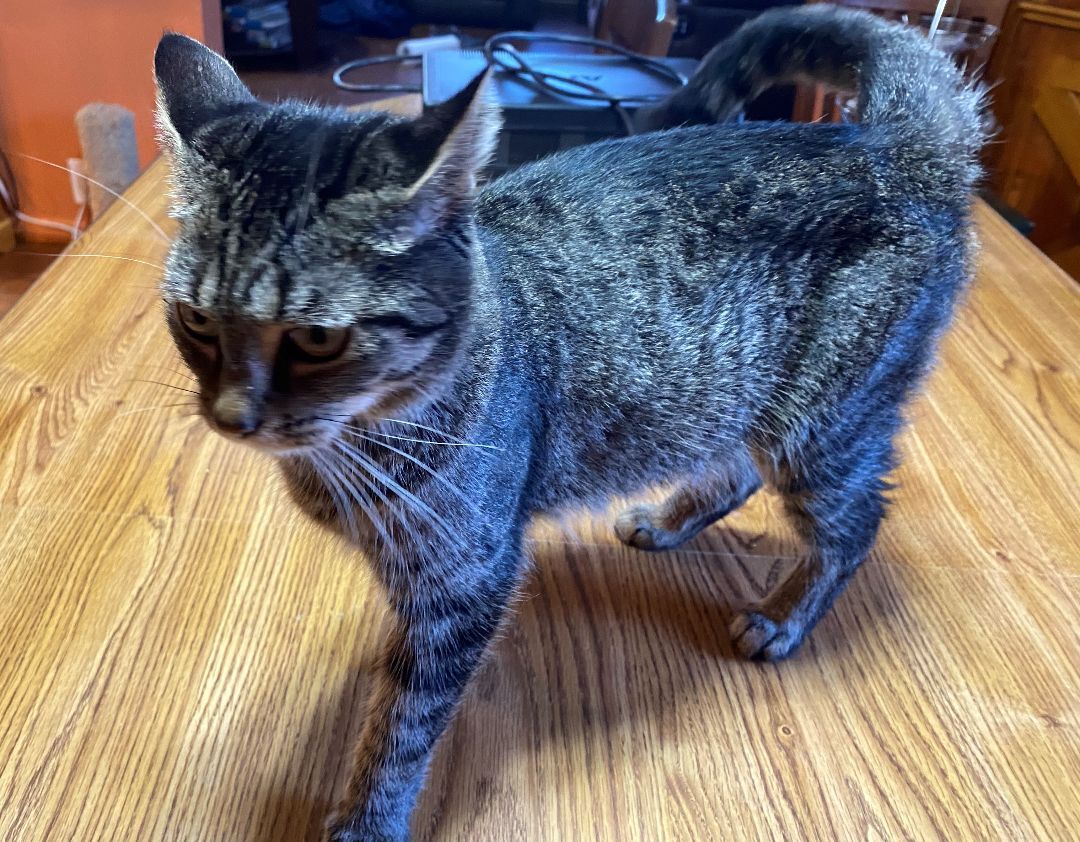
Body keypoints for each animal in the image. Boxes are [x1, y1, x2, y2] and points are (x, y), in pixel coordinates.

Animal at [154, 8, 989, 842]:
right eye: (194, 320)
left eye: (316, 338)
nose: (230, 416)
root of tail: (893, 144)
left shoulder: (468, 581)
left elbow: (403, 725)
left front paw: (367, 816)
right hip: (732, 398)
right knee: (735, 468)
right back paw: (670, 517)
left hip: (823, 426)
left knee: (855, 524)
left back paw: (784, 616)